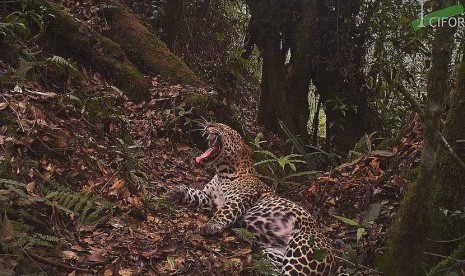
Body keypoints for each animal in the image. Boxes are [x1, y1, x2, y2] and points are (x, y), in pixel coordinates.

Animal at [169, 123, 342, 276]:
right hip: (274, 254)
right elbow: (194, 193)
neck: (223, 172)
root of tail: (335, 257)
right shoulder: (209, 198)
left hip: (303, 250)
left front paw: (209, 226)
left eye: (224, 127)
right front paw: (177, 191)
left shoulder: (239, 198)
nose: (208, 125)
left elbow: (224, 212)